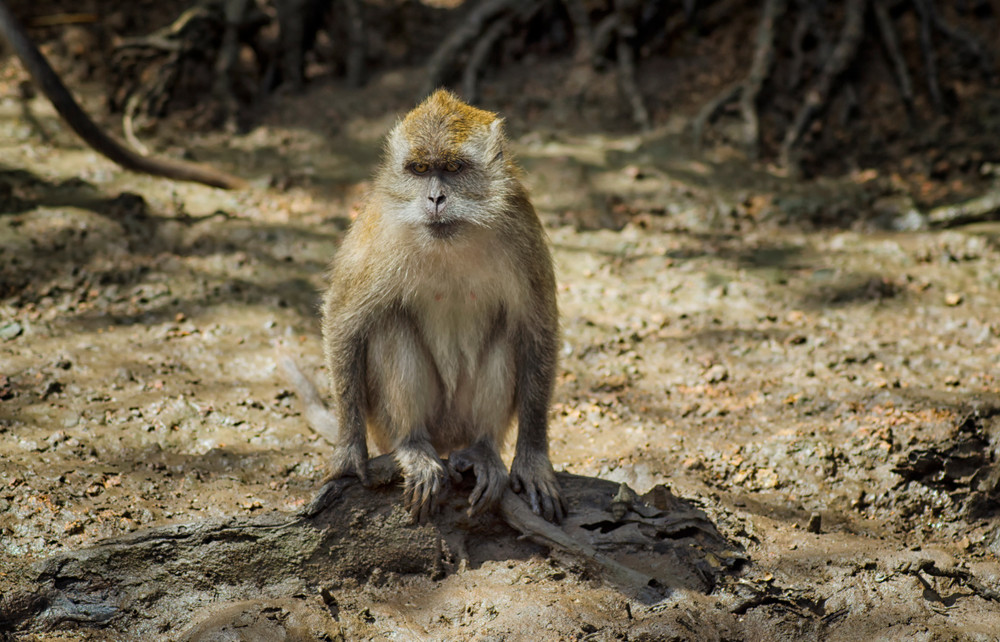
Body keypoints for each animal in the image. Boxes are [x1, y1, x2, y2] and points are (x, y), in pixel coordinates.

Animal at [299, 89, 565, 523]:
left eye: (454, 168)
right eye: (420, 169)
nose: (436, 197)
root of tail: (445, 442)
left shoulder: (521, 228)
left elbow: (536, 329)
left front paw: (533, 459)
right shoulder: (379, 230)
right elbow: (344, 321)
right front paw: (348, 453)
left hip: (461, 423)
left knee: (506, 335)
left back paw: (482, 451)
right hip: (387, 424)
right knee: (389, 326)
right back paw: (413, 445)